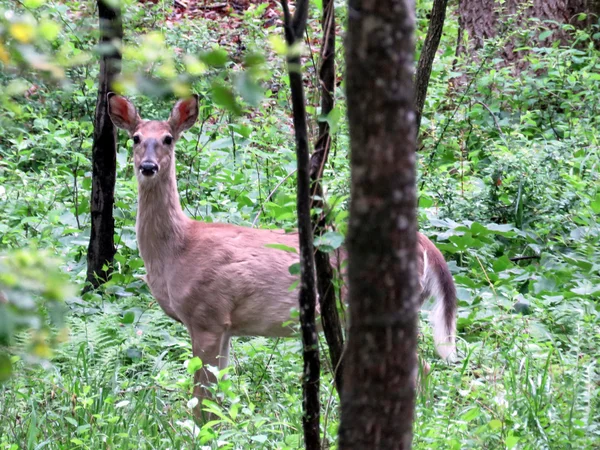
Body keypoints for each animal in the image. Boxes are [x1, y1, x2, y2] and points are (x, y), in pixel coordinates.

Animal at [105, 94, 458, 422]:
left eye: (168, 138)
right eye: (136, 138)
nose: (148, 166)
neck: (177, 251)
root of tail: (427, 245)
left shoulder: (207, 314)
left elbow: (201, 396)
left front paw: (197, 433)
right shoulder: (225, 325)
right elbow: (218, 392)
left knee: (423, 367)